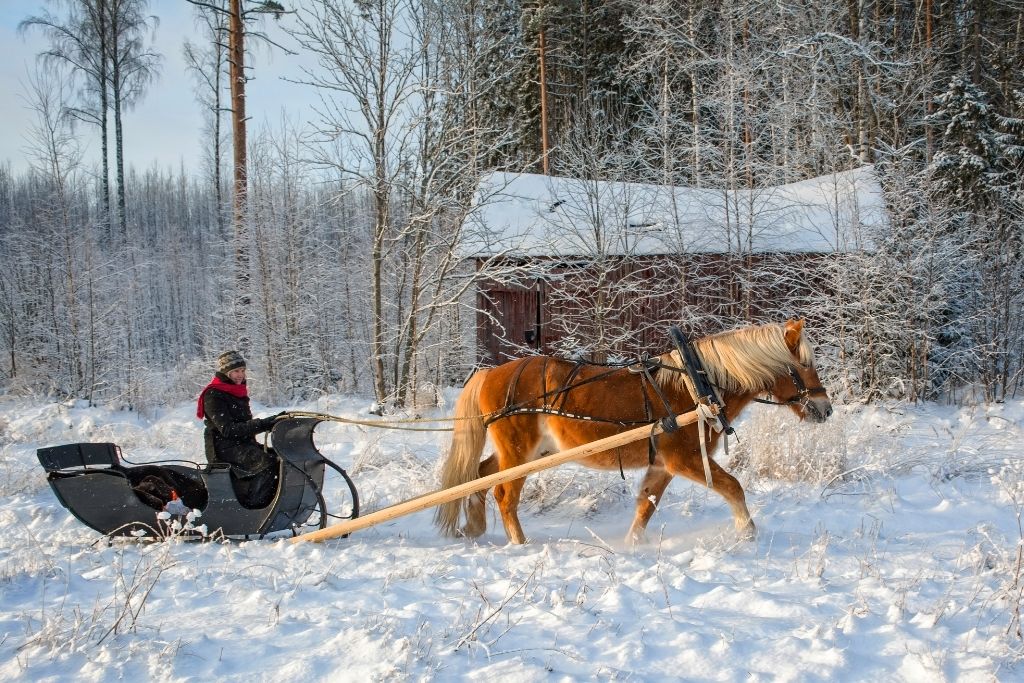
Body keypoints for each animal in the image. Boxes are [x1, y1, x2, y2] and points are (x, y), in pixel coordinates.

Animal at [434, 317, 831, 548]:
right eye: (804, 364)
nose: (825, 408)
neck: (696, 387)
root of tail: (490, 373)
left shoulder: (662, 465)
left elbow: (646, 505)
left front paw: (630, 546)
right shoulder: (685, 459)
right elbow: (733, 487)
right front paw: (748, 533)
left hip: (523, 452)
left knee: (479, 476)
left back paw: (474, 527)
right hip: (519, 452)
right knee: (504, 494)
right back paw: (520, 543)